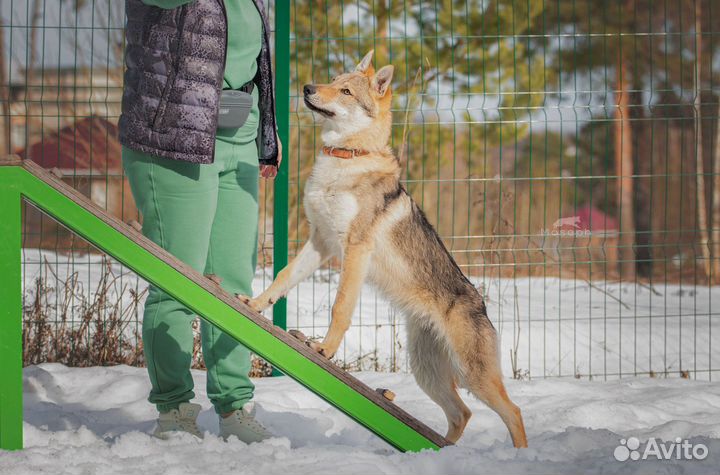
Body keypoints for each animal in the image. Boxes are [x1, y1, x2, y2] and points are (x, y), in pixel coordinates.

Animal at [242, 50, 528, 448]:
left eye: (345, 91)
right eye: (332, 80)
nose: (308, 87)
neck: (347, 157)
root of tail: (481, 304)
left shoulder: (354, 248)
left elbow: (340, 307)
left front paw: (324, 350)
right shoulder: (321, 242)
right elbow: (283, 278)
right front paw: (254, 304)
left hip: (473, 376)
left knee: (513, 412)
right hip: (428, 374)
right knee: (463, 413)